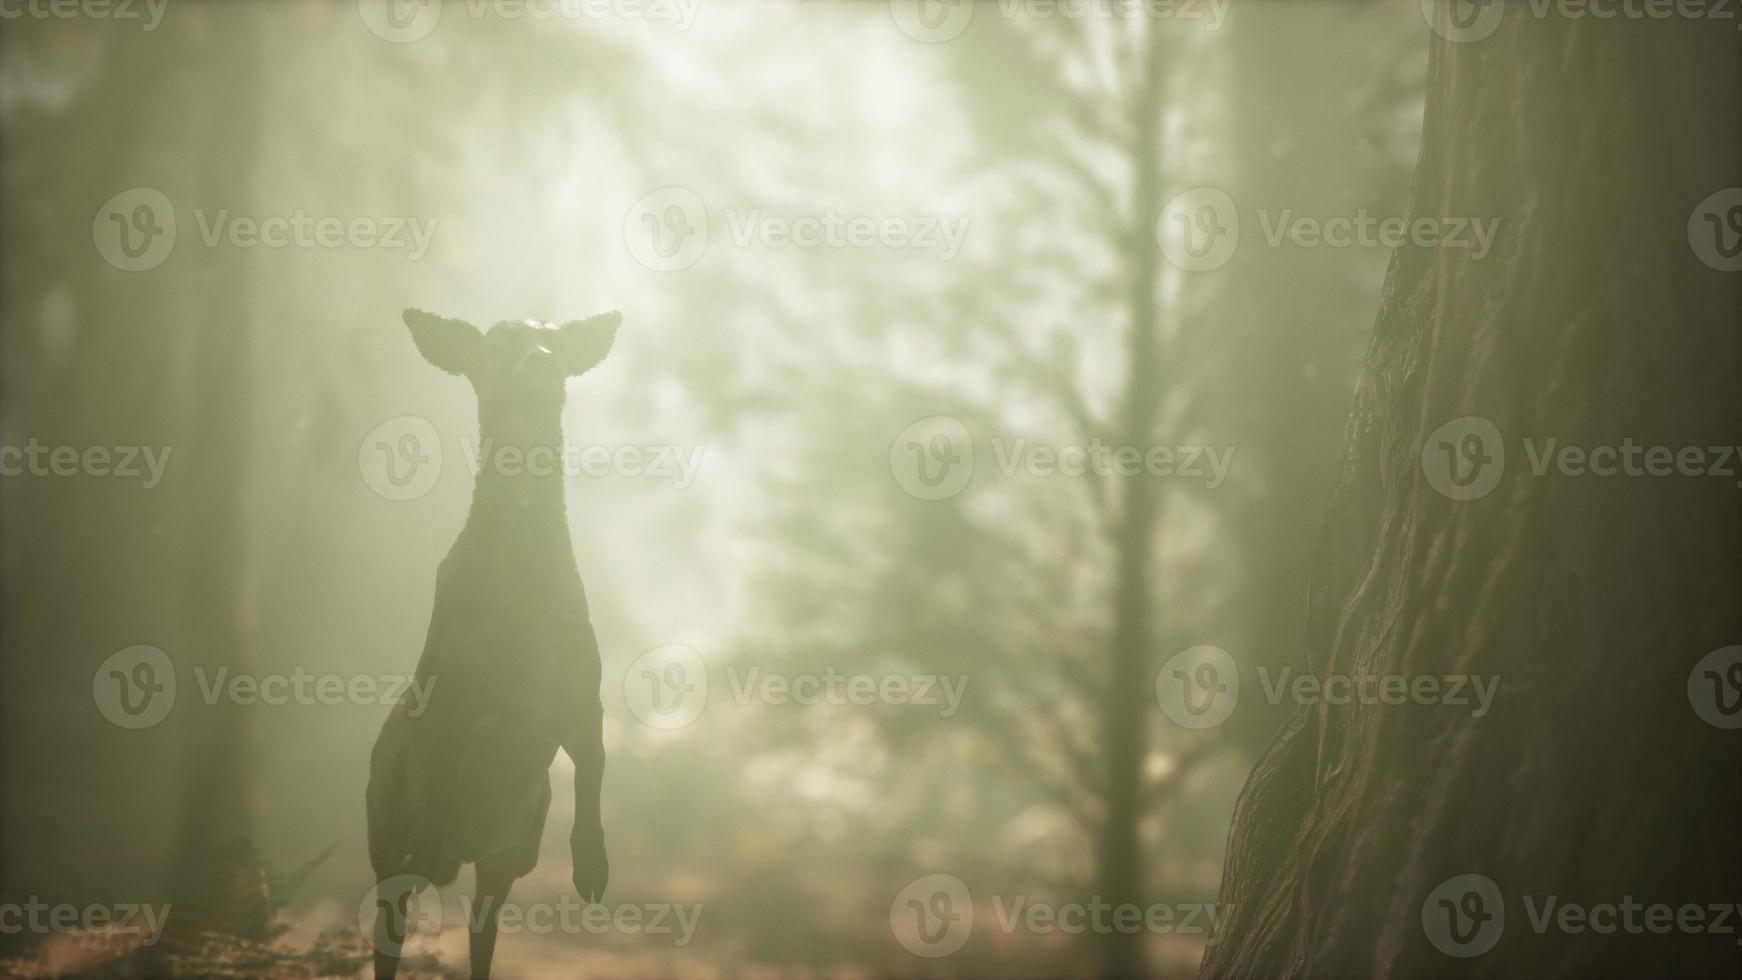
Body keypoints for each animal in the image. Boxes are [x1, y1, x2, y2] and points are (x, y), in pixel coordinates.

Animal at [364, 308, 616, 980]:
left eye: (556, 341)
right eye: (498, 343)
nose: (542, 362)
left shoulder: (582, 690)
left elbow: (597, 762)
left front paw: (594, 867)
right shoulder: (453, 690)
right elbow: (447, 765)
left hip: (508, 857)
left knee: (484, 934)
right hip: (382, 837)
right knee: (389, 929)